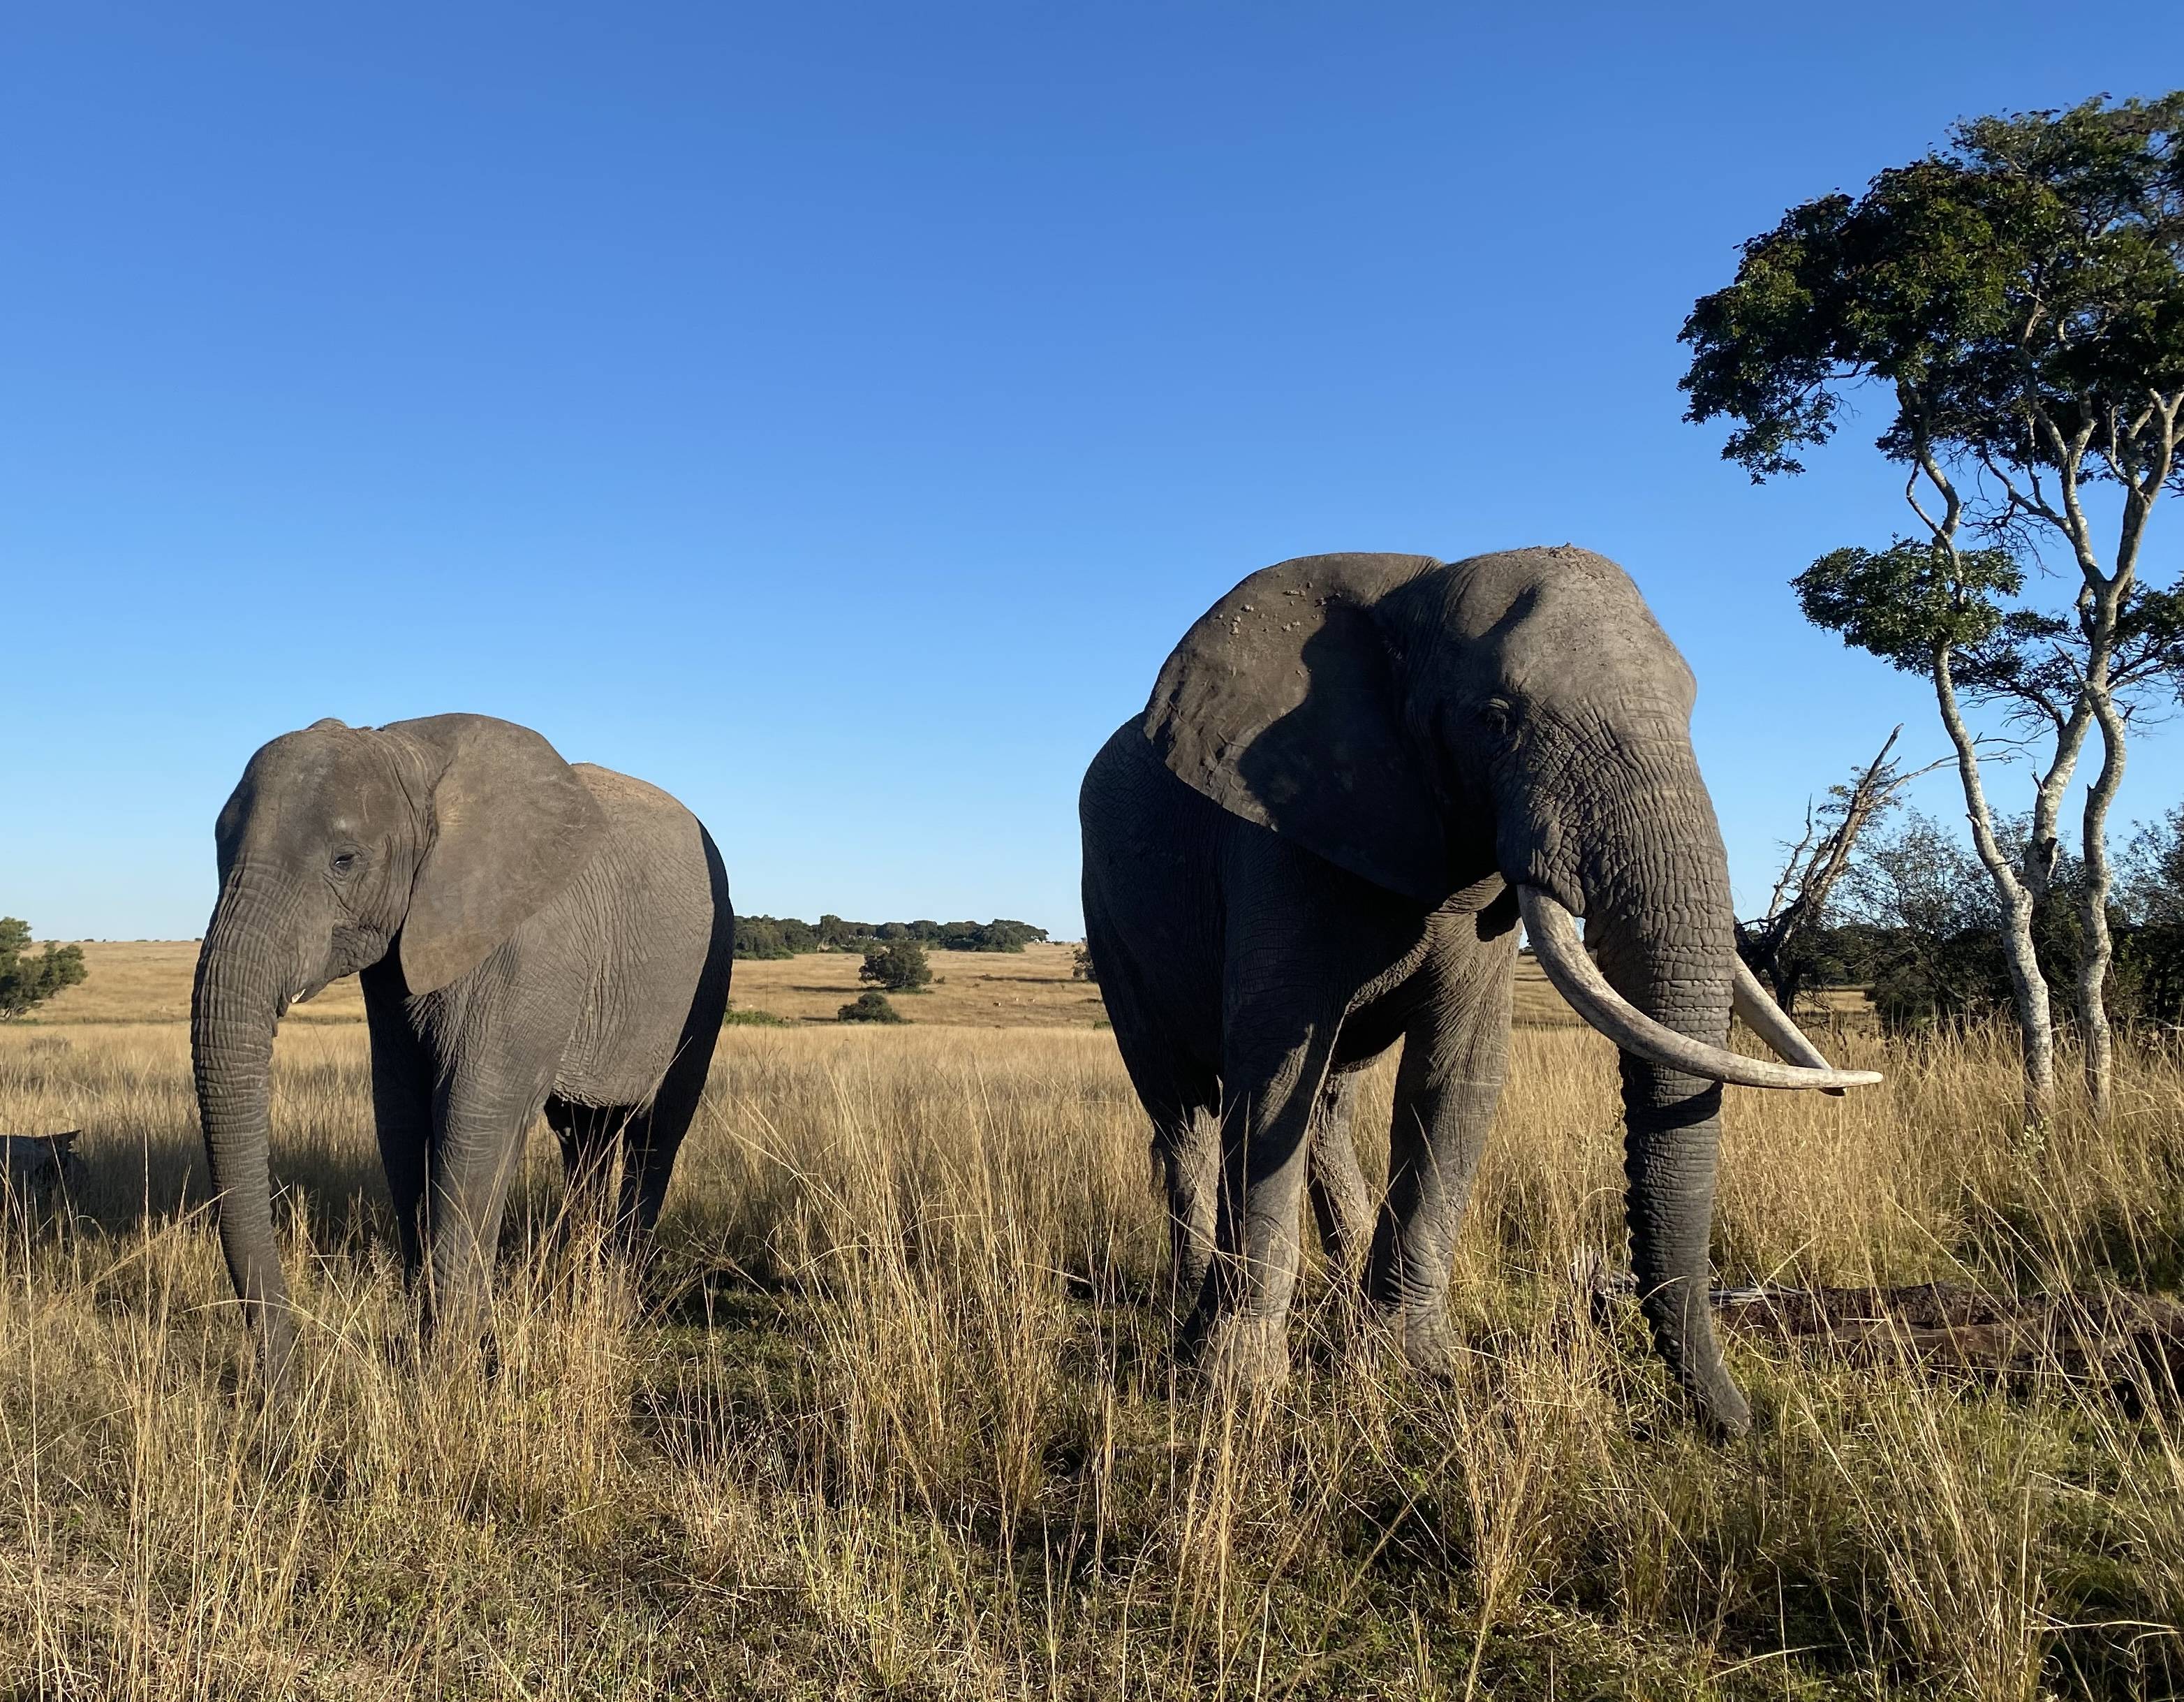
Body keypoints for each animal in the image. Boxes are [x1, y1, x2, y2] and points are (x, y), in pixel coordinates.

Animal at [191, 713, 735, 1384]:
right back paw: (573, 1292)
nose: (281, 1386)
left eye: (345, 861)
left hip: (708, 967)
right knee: (581, 1136)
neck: (408, 754)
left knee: (656, 1132)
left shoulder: (530, 946)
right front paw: (430, 1354)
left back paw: (614, 1309)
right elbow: (400, 1117)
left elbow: (475, 1117)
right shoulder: (395, 965)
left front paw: (453, 1370)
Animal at [1080, 548, 1879, 1435]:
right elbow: (1269, 1072)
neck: (1412, 595)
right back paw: (1187, 1310)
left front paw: (1418, 1368)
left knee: (1326, 1104)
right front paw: (1236, 1388)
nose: (1737, 1425)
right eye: (1495, 720)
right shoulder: (1276, 836)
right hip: (1107, 915)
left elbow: (1453, 1078)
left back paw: (1341, 1300)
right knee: (1182, 1106)